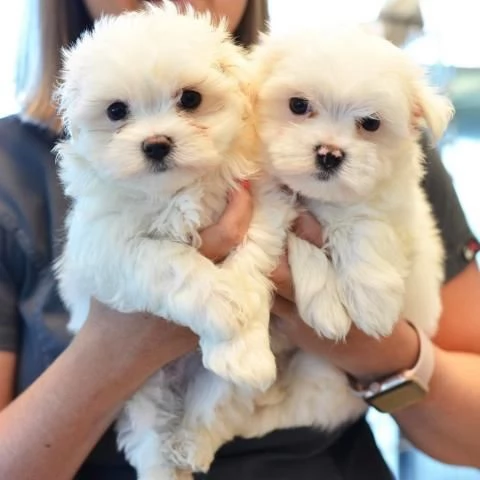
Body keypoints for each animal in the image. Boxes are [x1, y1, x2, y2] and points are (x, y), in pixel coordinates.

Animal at [54, 4, 290, 480]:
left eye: (190, 99)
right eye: (116, 110)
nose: (156, 144)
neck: (177, 191)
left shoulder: (262, 204)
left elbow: (250, 260)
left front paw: (245, 344)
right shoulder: (106, 244)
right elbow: (167, 259)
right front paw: (221, 305)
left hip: (207, 392)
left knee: (214, 404)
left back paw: (194, 442)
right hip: (139, 387)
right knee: (147, 435)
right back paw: (166, 462)